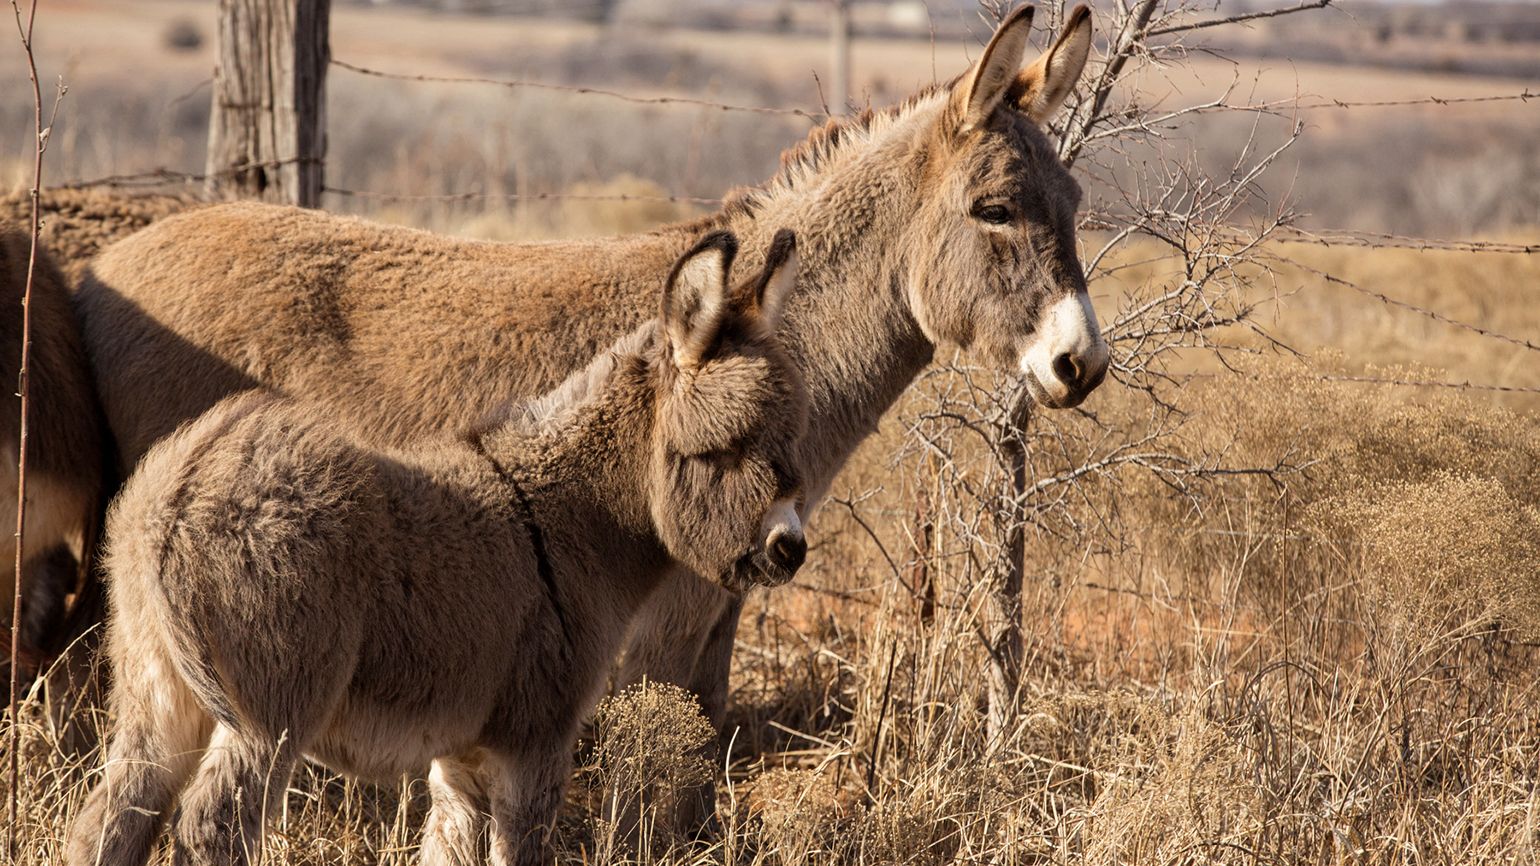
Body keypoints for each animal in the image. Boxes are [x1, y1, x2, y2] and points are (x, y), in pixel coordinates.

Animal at [63, 229, 806, 862]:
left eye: (786, 438)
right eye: (724, 447)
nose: (790, 550)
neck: (569, 520)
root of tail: (180, 491)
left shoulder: (461, 756)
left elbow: (449, 848)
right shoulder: (536, 741)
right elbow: (520, 851)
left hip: (155, 690)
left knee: (110, 821)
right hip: (272, 710)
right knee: (211, 828)